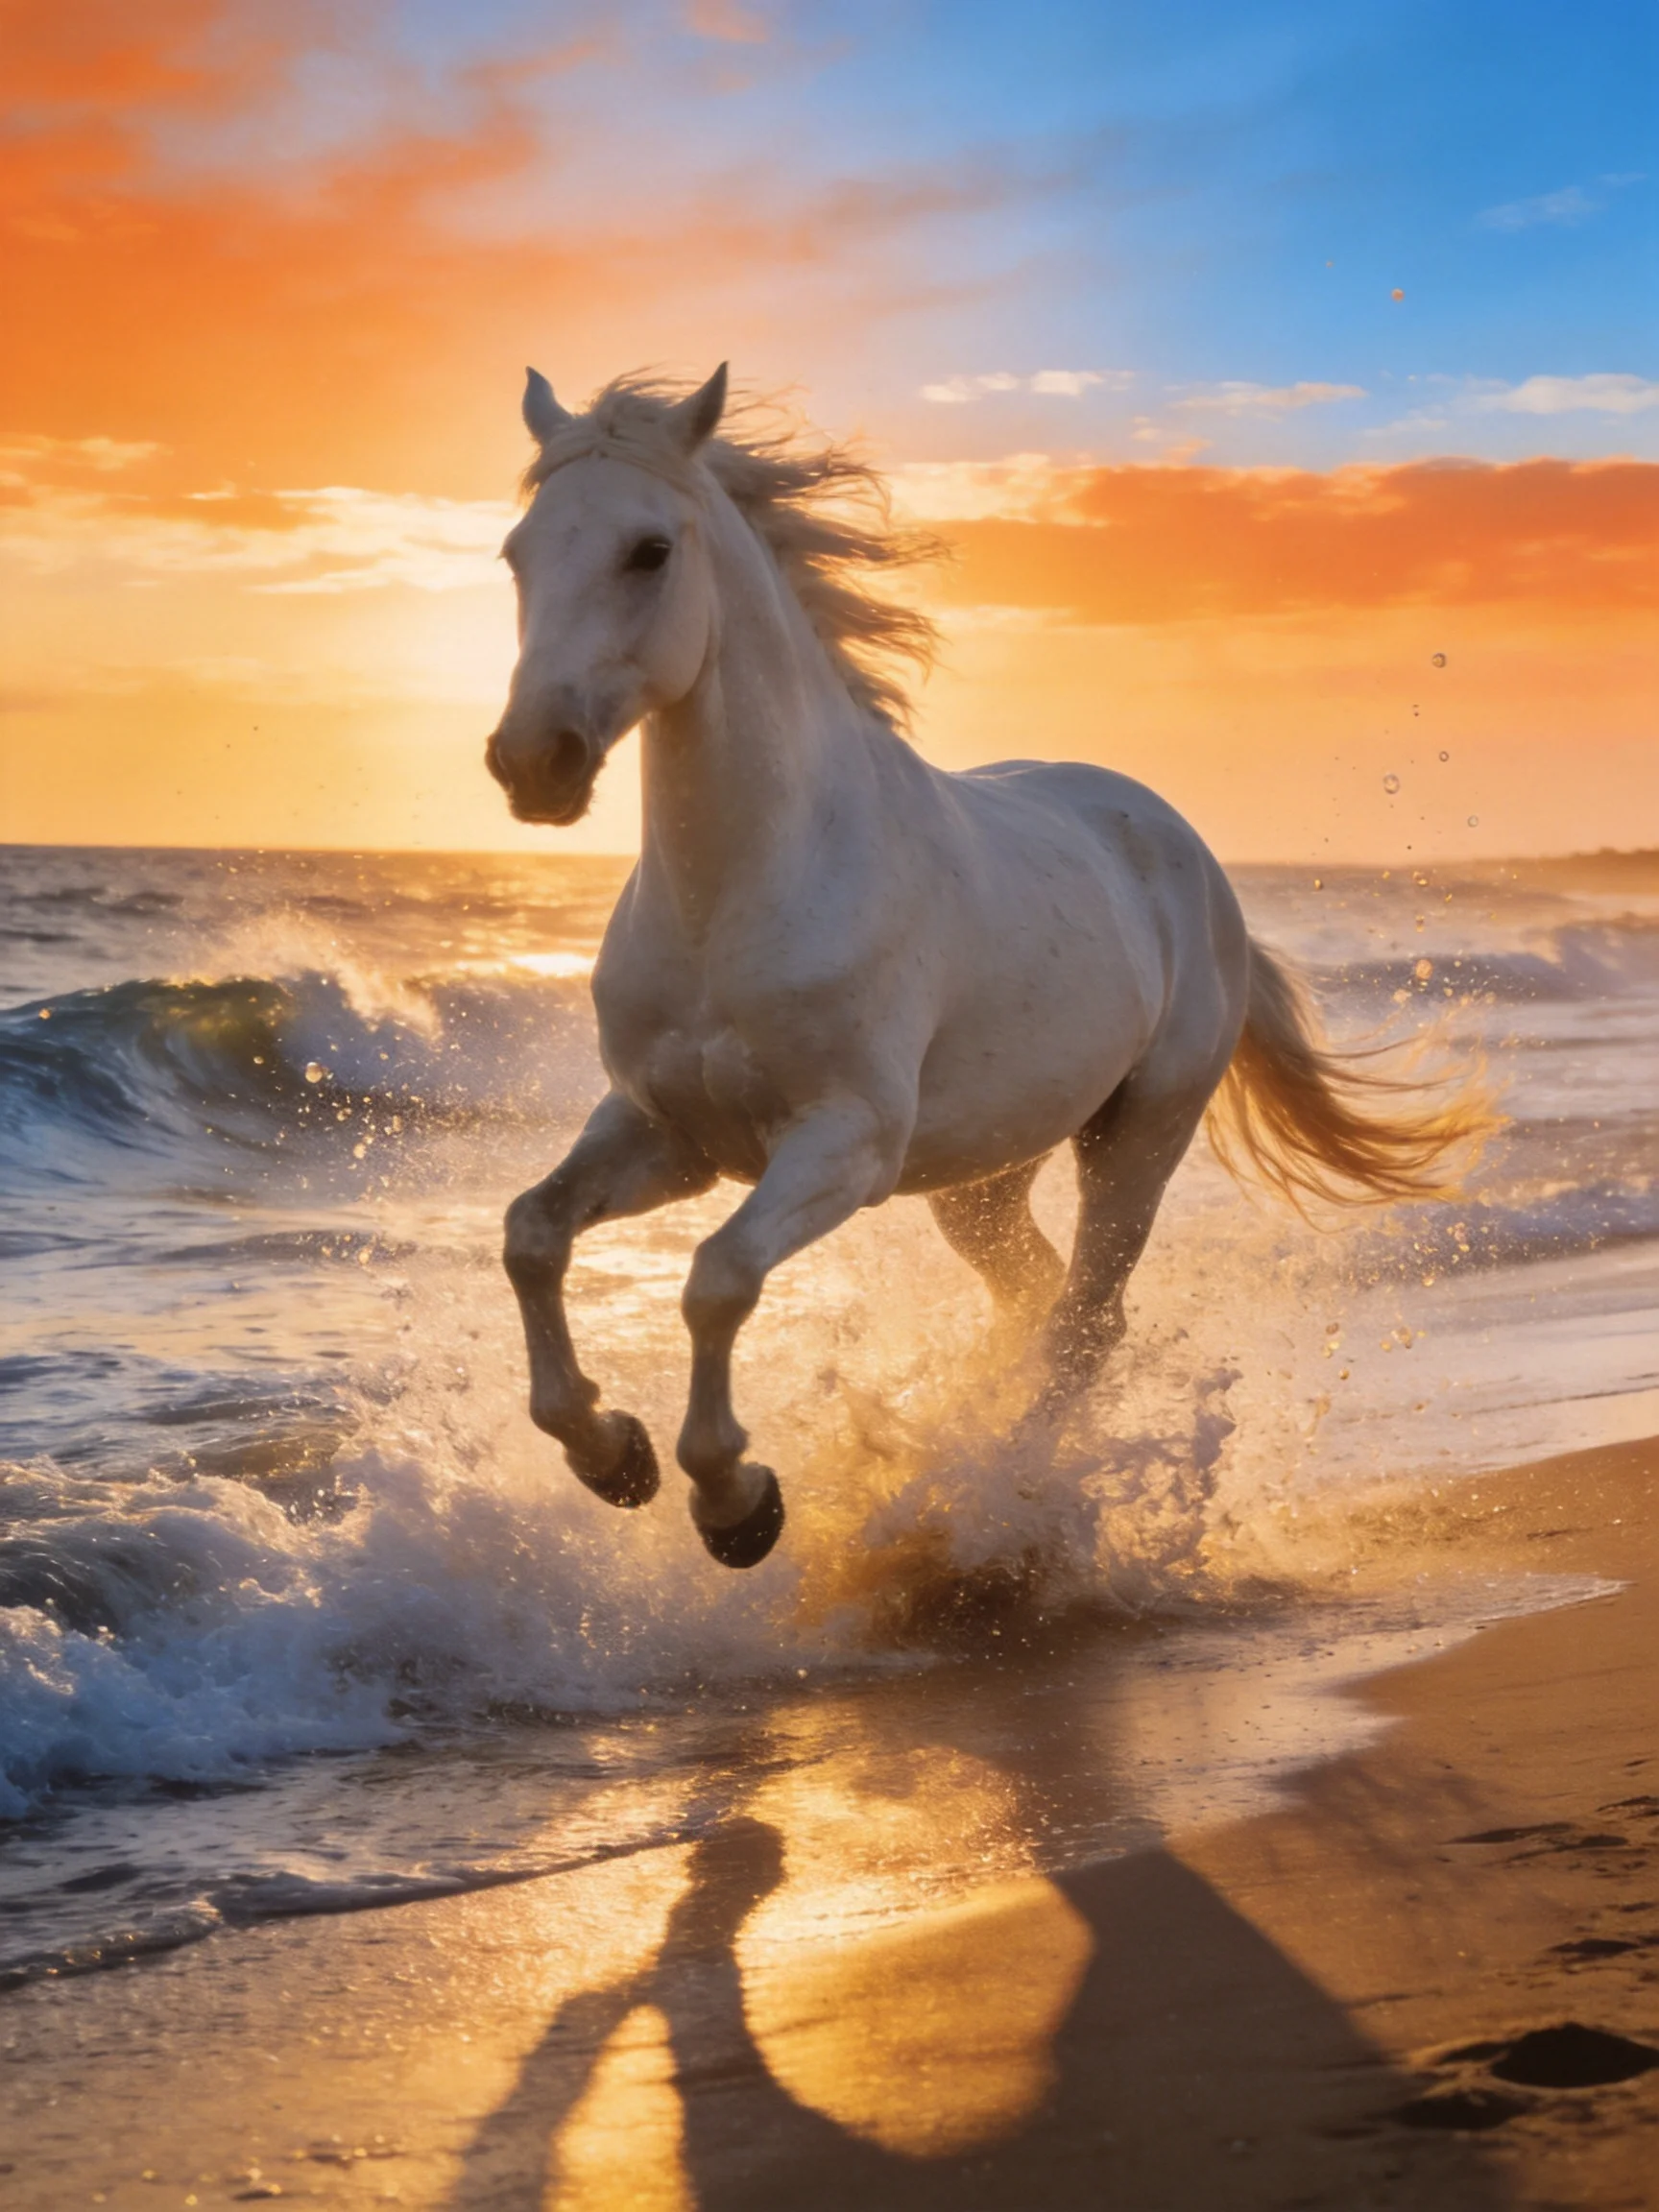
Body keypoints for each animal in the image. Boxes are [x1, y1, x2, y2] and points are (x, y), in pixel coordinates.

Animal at [485, 363, 1490, 1571]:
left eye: (648, 550)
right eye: (517, 552)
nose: (532, 763)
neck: (741, 891)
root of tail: (1184, 850)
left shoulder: (844, 1144)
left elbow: (717, 1280)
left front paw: (738, 1504)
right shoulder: (668, 1135)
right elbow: (532, 1237)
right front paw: (612, 1456)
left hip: (1138, 1138)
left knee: (1088, 1319)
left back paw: (1008, 1491)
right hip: (982, 1179)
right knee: (1039, 1296)